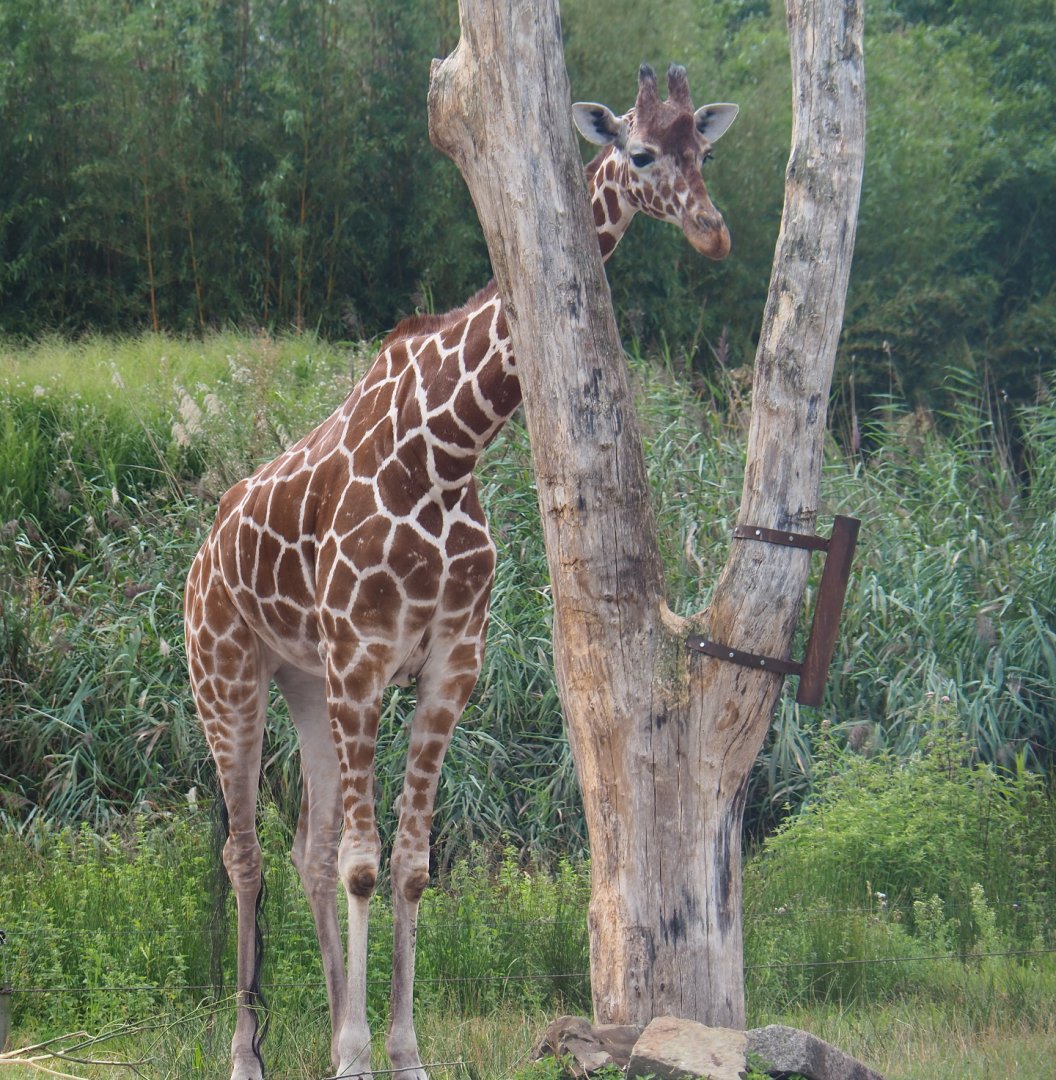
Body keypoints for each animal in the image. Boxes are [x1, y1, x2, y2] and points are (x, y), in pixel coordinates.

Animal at [184, 63, 737, 1080]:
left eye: (702, 151)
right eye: (642, 151)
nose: (713, 231)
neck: (447, 446)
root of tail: (202, 555)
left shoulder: (448, 664)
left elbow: (406, 863)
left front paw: (396, 1052)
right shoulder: (365, 662)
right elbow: (367, 863)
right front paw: (357, 1053)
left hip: (303, 682)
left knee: (306, 848)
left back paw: (329, 1018)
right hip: (226, 676)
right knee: (245, 852)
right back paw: (246, 1053)